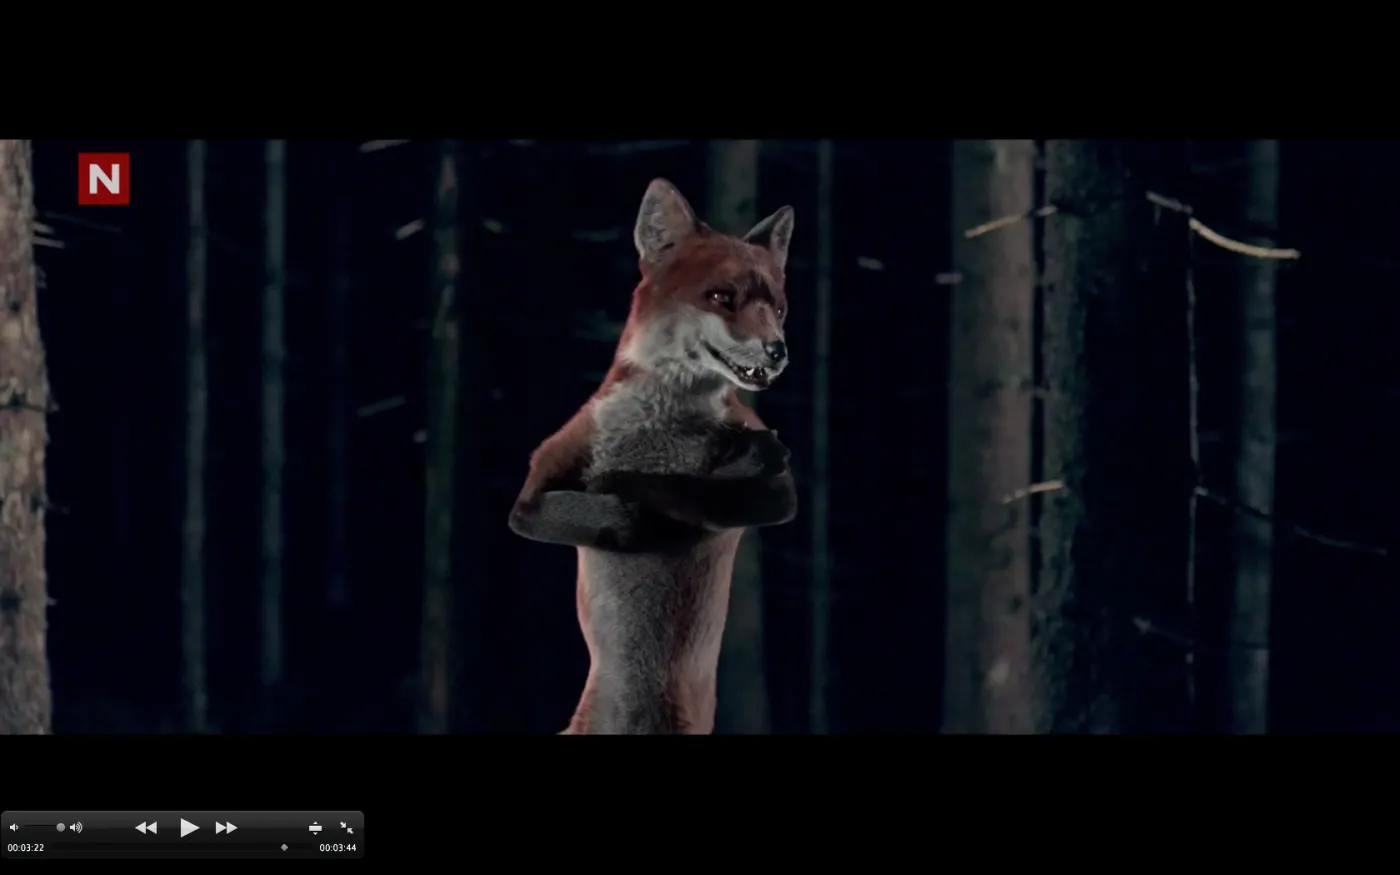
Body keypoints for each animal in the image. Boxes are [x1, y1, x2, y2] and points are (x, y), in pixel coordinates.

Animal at [508, 178, 799, 734]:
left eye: (778, 308)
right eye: (721, 298)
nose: (777, 351)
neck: (663, 428)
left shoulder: (779, 491)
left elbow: (701, 491)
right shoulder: (536, 487)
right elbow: (590, 507)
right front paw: (631, 511)